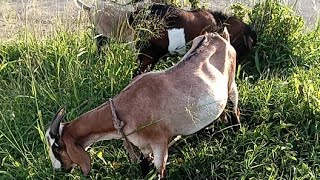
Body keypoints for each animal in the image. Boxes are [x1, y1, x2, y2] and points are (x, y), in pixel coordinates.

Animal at [45, 28, 240, 178]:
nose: (58, 169)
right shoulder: (144, 146)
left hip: (232, 85)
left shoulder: (160, 143)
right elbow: (144, 166)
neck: (123, 111)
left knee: (234, 109)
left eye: (56, 147)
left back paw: (236, 132)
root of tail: (219, 36)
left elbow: (159, 171)